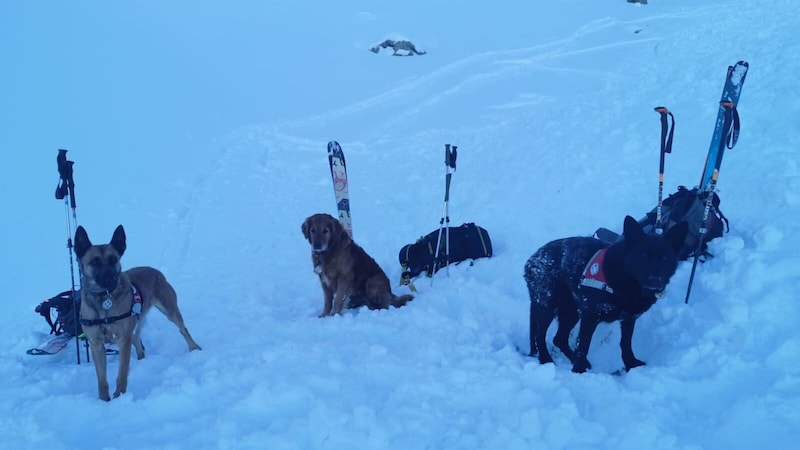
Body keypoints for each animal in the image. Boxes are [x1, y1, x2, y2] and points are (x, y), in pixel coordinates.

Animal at [74, 225, 202, 400]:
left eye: (113, 259)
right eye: (94, 262)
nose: (111, 279)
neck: (104, 302)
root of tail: (155, 271)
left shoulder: (123, 341)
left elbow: (122, 374)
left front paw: (119, 397)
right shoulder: (96, 344)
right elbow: (102, 379)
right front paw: (103, 401)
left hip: (170, 311)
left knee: (183, 329)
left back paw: (194, 348)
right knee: (137, 339)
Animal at [524, 215, 688, 372]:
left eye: (665, 258)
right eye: (643, 256)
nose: (655, 280)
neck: (626, 280)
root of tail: (533, 258)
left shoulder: (629, 319)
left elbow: (625, 343)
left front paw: (630, 364)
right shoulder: (590, 316)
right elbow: (583, 345)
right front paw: (579, 370)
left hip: (572, 311)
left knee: (559, 339)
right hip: (548, 306)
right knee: (540, 334)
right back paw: (546, 359)